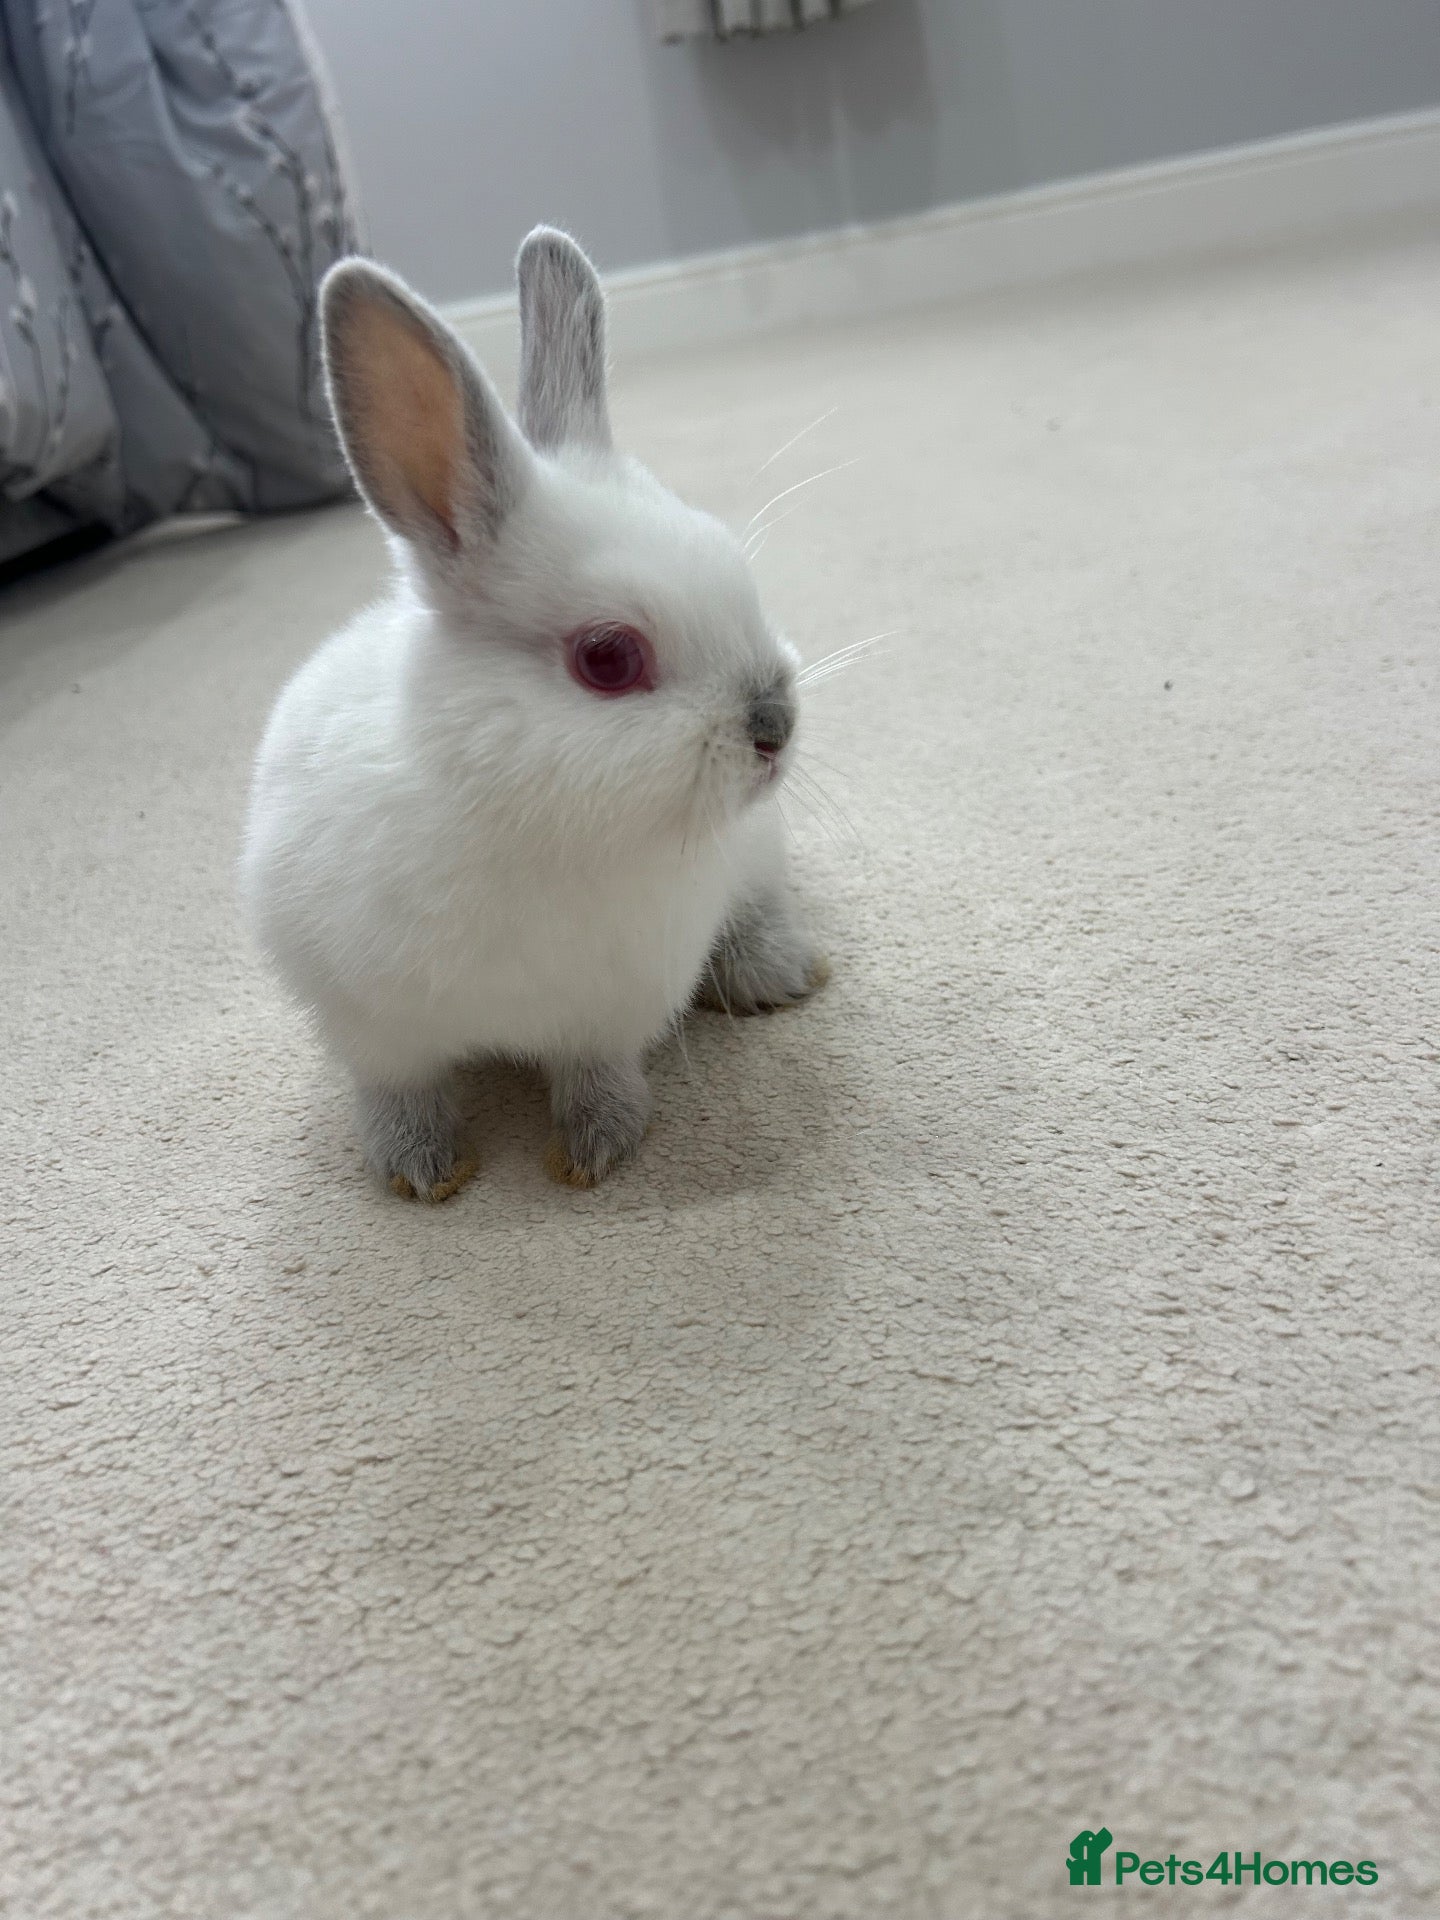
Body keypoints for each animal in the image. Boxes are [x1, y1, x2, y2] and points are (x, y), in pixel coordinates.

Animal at [239, 228, 827, 1199]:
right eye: (609, 658)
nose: (774, 729)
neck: (529, 817)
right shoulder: (371, 1023)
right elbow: (399, 1088)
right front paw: (420, 1173)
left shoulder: (609, 1009)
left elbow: (595, 1073)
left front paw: (594, 1152)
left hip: (757, 854)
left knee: (758, 908)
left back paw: (784, 974)